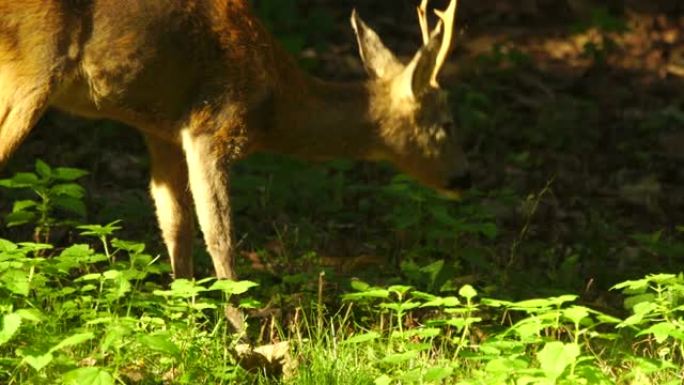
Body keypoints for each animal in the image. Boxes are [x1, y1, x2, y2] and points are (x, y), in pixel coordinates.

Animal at [0, 0, 470, 280]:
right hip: (32, 70)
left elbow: (176, 225)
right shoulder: (213, 127)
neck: (275, 106)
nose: (463, 178)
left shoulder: (162, 132)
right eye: (447, 123)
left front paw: (186, 311)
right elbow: (220, 236)